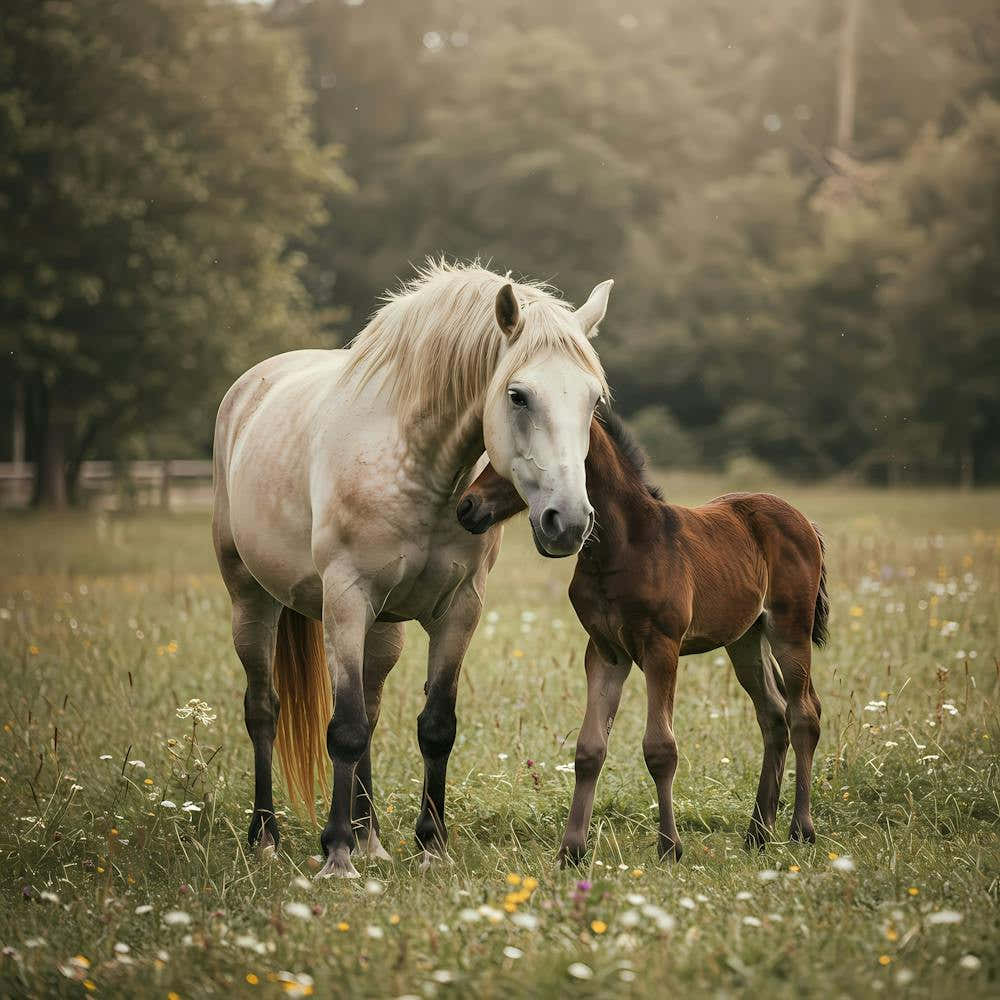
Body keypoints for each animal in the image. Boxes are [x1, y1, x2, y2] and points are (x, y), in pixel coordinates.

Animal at [213, 260, 614, 877]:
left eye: (593, 402)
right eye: (518, 396)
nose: (566, 521)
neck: (418, 467)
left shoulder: (460, 610)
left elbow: (434, 727)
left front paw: (431, 847)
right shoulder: (346, 602)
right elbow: (344, 730)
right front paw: (335, 857)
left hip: (384, 630)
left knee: (372, 711)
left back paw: (370, 837)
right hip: (251, 602)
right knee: (264, 711)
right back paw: (267, 838)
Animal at [457, 409, 829, 863]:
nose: (468, 506)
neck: (621, 546)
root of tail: (804, 521)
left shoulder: (660, 648)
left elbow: (660, 748)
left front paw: (670, 847)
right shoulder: (606, 651)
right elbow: (589, 749)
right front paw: (571, 850)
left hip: (790, 628)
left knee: (804, 713)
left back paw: (801, 829)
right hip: (745, 638)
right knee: (773, 715)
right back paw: (758, 833)